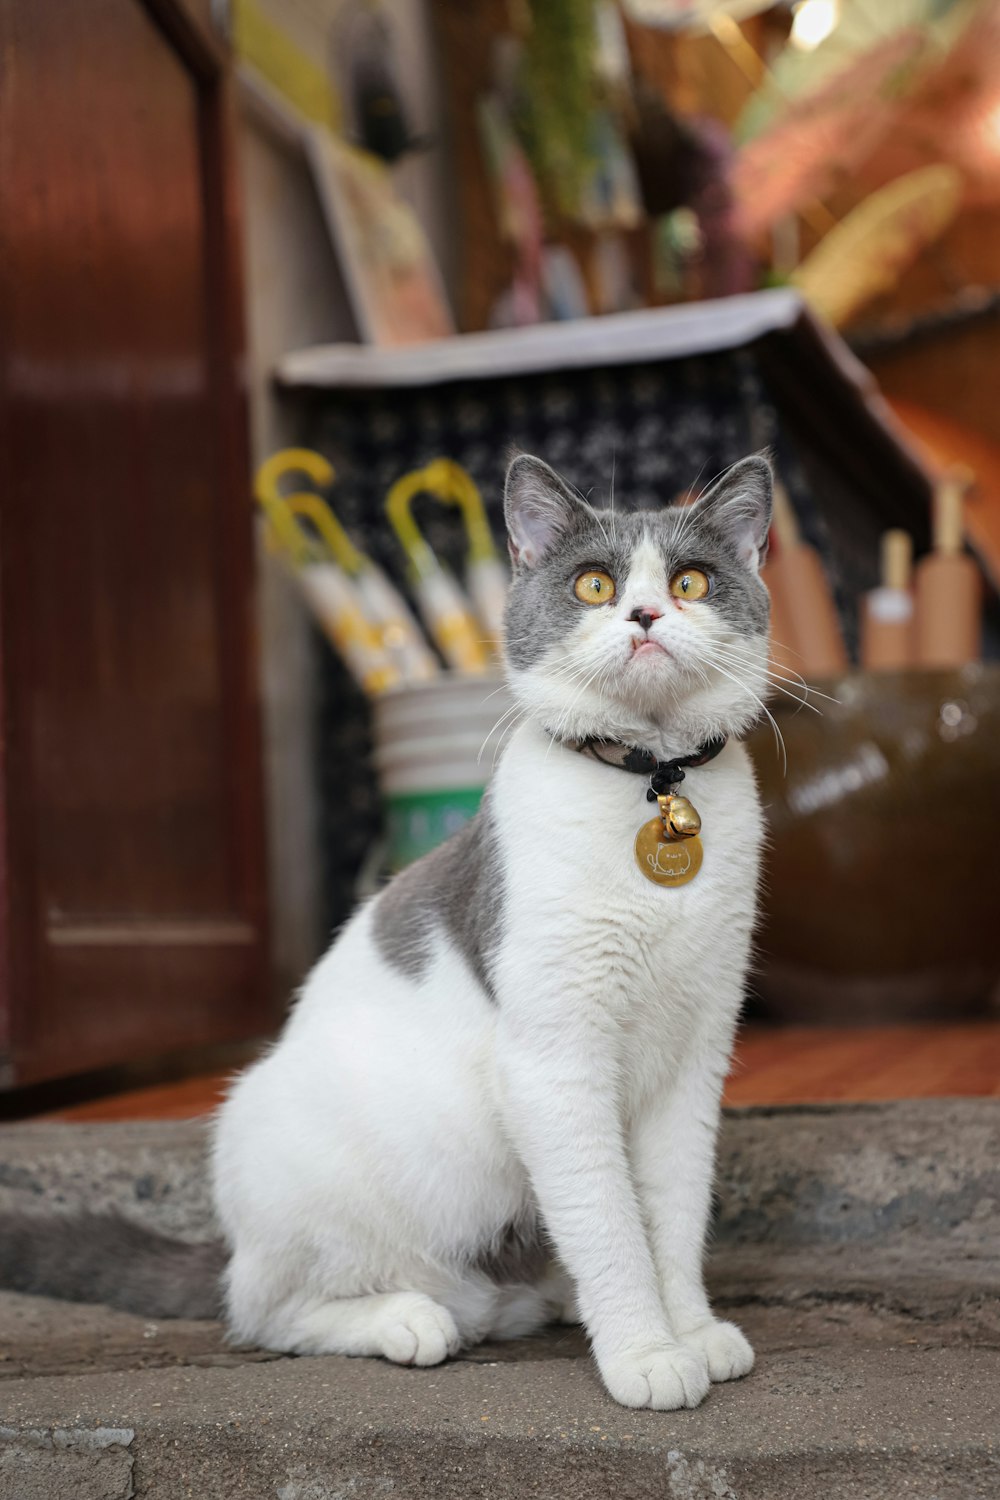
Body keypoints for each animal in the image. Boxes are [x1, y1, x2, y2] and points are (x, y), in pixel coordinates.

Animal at [212, 450, 773, 1410]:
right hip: (304, 1158)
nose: (647, 614)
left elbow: (671, 1212)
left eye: (692, 582)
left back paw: (535, 1302)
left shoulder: (694, 1055)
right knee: (267, 1311)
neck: (653, 784)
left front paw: (693, 1331)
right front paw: (646, 1355)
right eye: (594, 584)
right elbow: (610, 1223)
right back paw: (409, 1320)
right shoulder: (554, 1062)